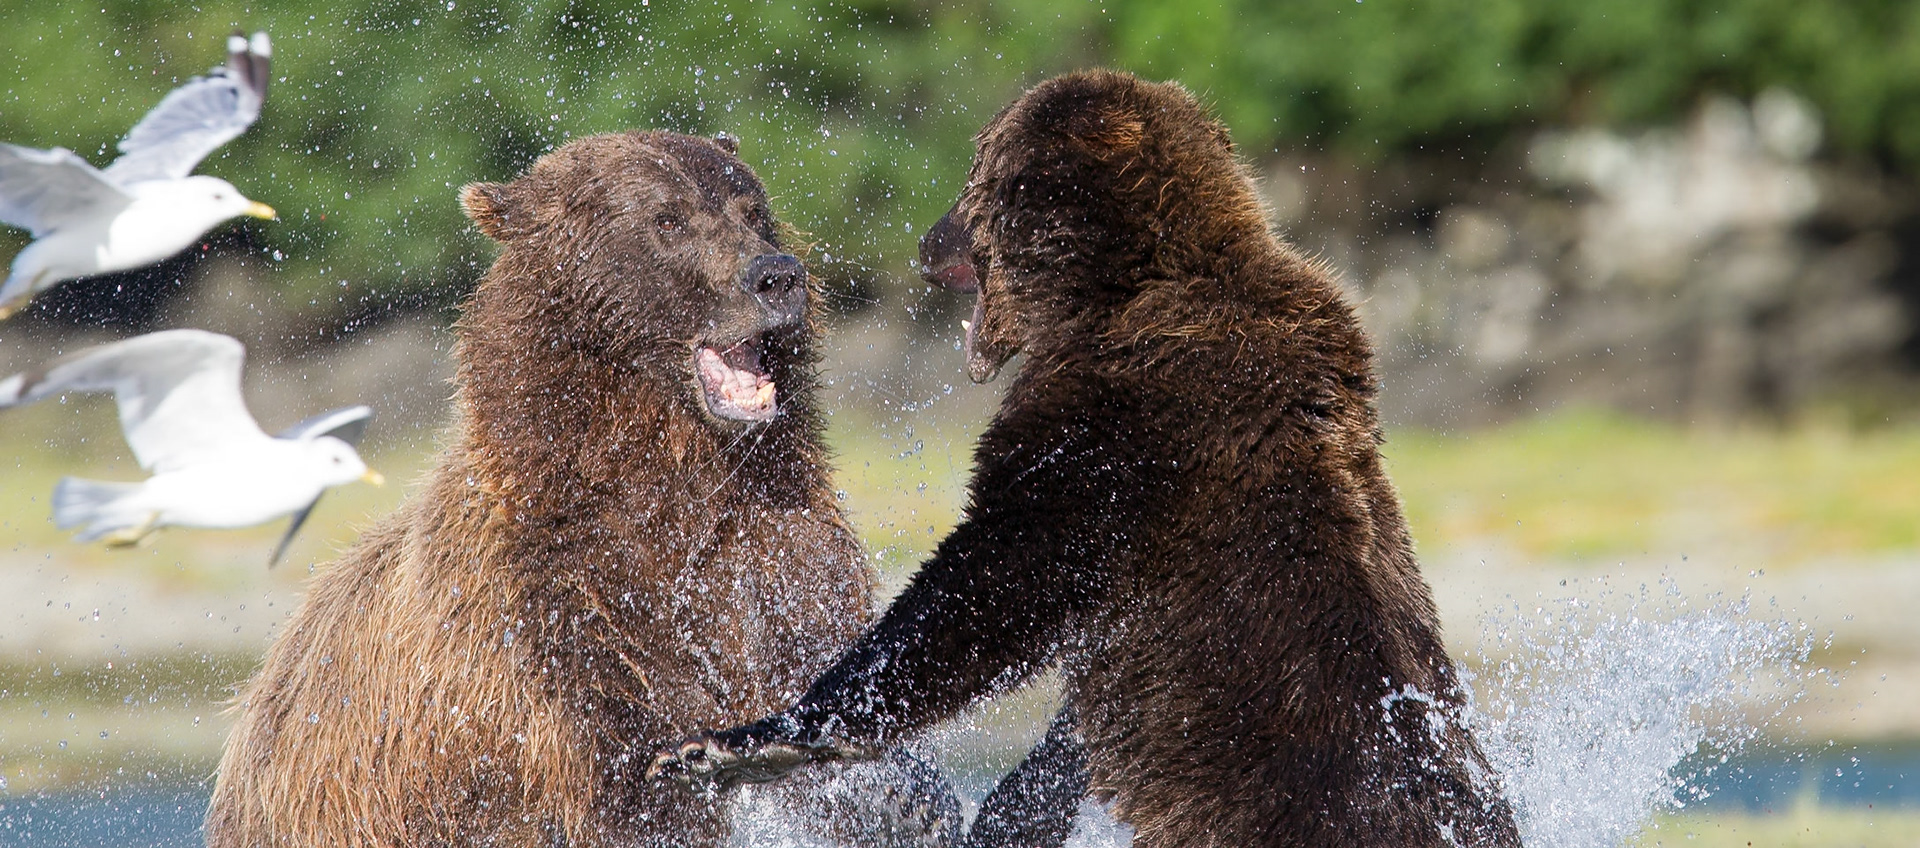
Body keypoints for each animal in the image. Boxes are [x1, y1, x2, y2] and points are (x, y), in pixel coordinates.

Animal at [204, 130, 961, 848]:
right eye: (667, 219)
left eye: (752, 208)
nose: (776, 277)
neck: (672, 478)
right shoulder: (557, 626)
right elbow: (628, 780)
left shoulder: (777, 566)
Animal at [650, 71, 1525, 848]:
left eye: (974, 174)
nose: (929, 238)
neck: (1112, 293)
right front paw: (1015, 808)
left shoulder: (1118, 431)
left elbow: (988, 583)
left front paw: (744, 741)